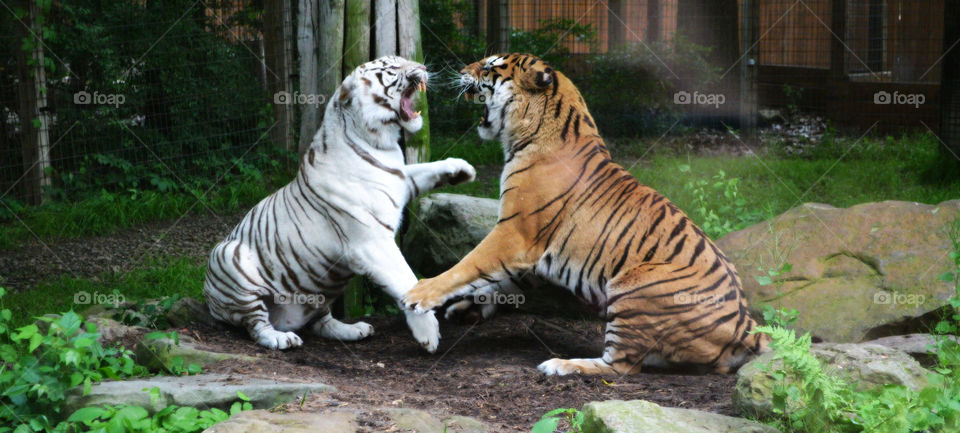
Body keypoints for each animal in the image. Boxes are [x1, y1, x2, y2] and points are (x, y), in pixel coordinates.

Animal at [204, 56, 475, 352]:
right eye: (392, 67)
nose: (423, 68)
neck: (380, 144)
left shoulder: (401, 179)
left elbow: (423, 170)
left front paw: (462, 169)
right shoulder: (372, 243)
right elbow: (406, 279)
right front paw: (428, 333)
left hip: (317, 294)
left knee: (321, 321)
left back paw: (354, 329)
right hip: (228, 257)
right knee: (256, 324)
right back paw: (280, 338)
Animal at [403, 53, 769, 375]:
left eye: (490, 66)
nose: (460, 70)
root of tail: (747, 326)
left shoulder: (515, 233)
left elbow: (469, 265)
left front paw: (419, 294)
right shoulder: (529, 250)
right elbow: (499, 279)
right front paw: (468, 307)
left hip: (634, 285)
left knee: (621, 366)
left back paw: (560, 365)